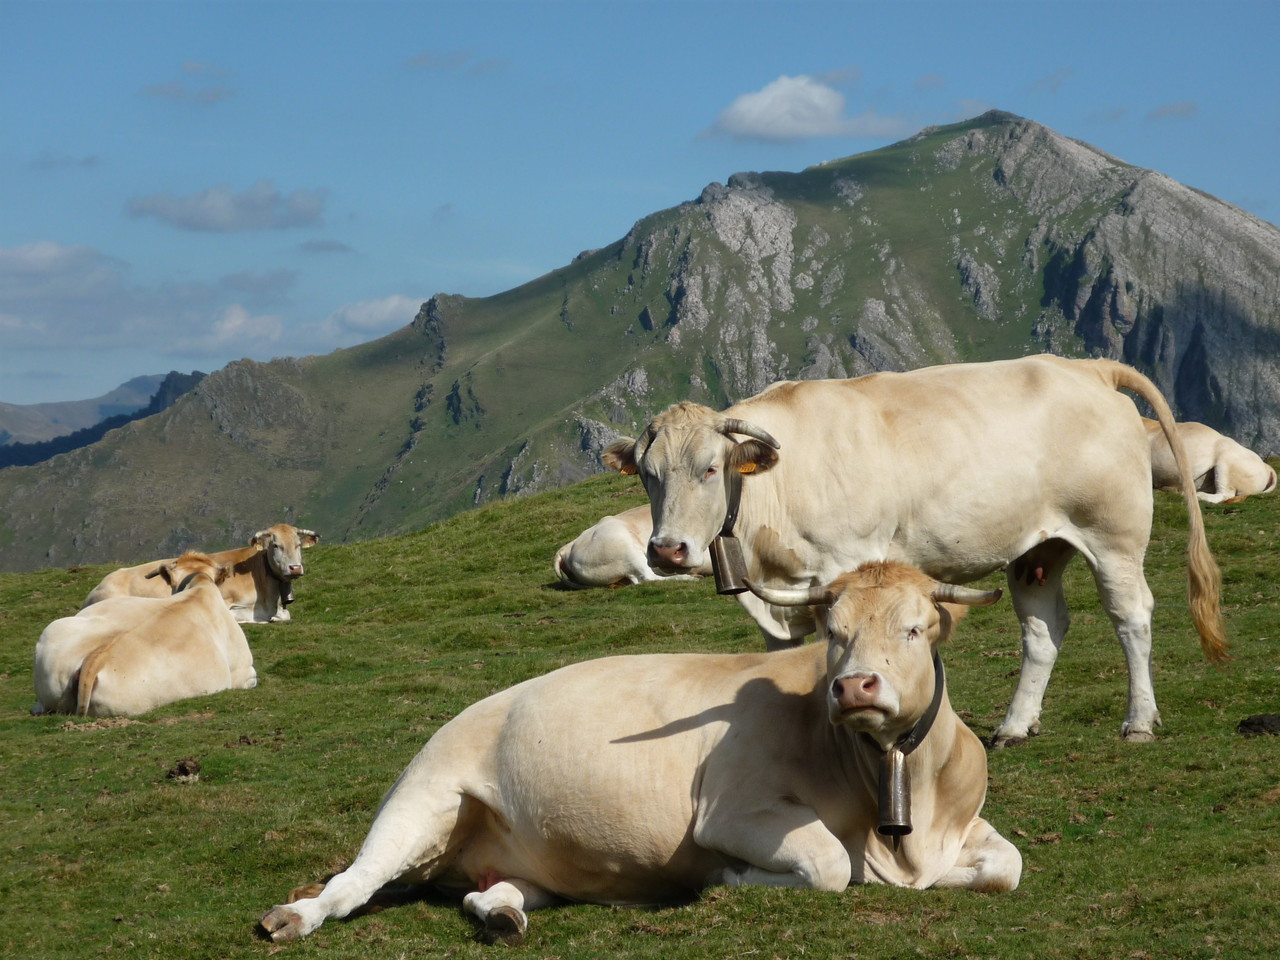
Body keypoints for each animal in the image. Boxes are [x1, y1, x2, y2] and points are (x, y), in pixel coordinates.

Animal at [259, 562, 1019, 946]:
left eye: (916, 629)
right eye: (832, 631)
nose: (854, 686)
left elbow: (1006, 868)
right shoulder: (730, 812)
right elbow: (830, 863)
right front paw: (729, 880)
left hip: (524, 858)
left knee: (493, 890)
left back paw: (501, 914)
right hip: (424, 798)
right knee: (354, 879)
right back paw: (295, 918)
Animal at [602, 355, 1226, 748]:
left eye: (711, 468)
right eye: (648, 475)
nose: (667, 550)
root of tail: (1087, 367)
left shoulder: (840, 567)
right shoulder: (775, 601)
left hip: (1113, 535)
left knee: (1131, 615)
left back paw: (1139, 720)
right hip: (1038, 550)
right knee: (1043, 630)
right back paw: (1014, 726)